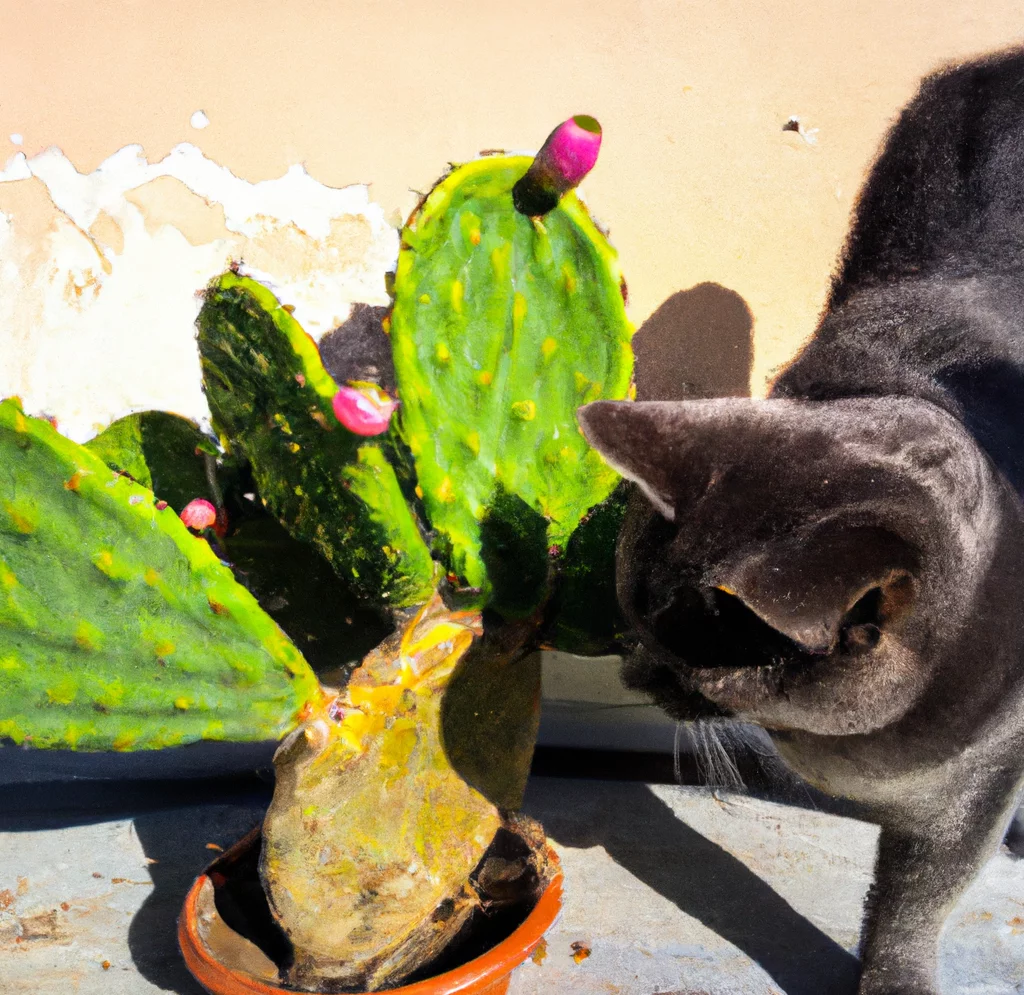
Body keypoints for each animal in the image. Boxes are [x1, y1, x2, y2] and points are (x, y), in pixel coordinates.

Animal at [581, 48, 1024, 995]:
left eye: (699, 668)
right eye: (629, 617)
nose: (633, 674)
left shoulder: (975, 787)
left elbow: (915, 898)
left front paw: (895, 976)